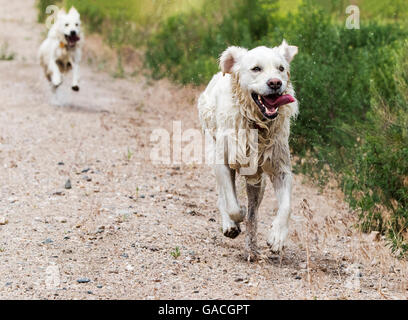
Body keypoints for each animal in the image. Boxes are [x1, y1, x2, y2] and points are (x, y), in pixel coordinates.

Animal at [198, 40, 300, 260]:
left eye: (281, 69)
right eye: (256, 69)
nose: (275, 83)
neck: (256, 124)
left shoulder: (280, 169)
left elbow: (286, 206)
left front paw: (277, 237)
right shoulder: (224, 162)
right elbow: (232, 205)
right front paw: (235, 218)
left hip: (258, 181)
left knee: (255, 210)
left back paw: (252, 246)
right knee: (223, 196)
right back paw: (230, 225)